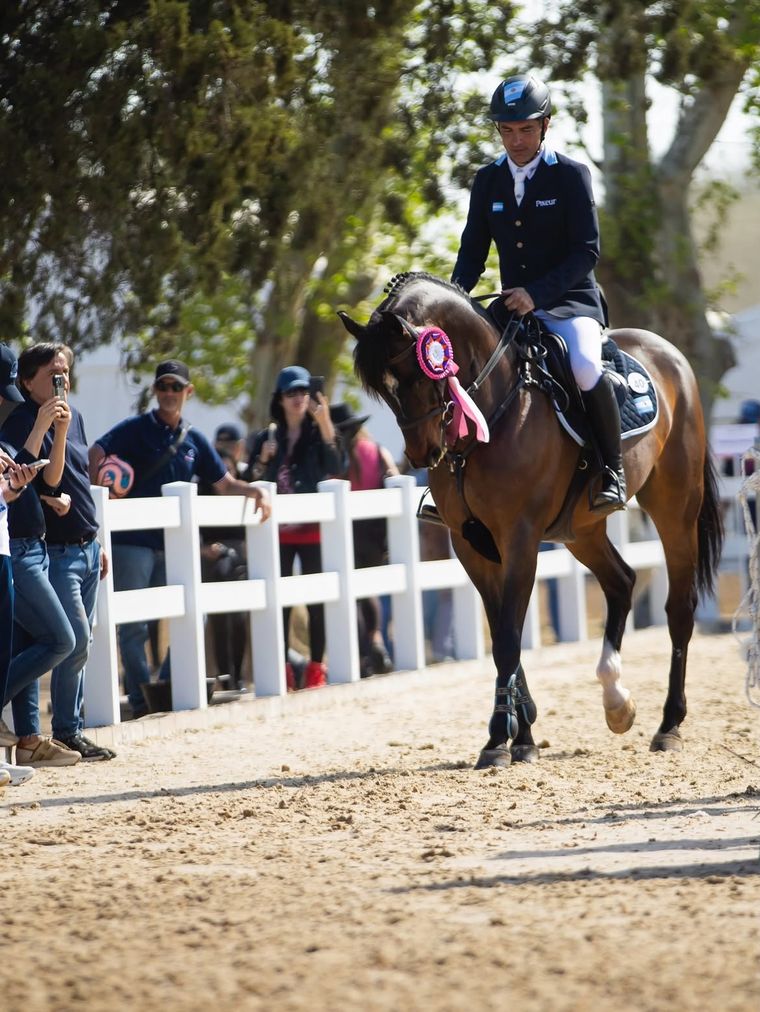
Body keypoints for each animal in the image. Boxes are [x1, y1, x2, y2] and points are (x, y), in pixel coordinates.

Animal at [338, 272, 723, 768]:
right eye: (384, 391)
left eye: (416, 375)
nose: (423, 454)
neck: (492, 412)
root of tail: (669, 353)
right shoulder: (471, 545)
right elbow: (504, 629)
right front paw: (520, 733)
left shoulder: (519, 537)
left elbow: (507, 634)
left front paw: (500, 737)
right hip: (581, 530)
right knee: (621, 581)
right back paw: (617, 702)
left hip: (675, 506)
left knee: (679, 608)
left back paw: (669, 725)